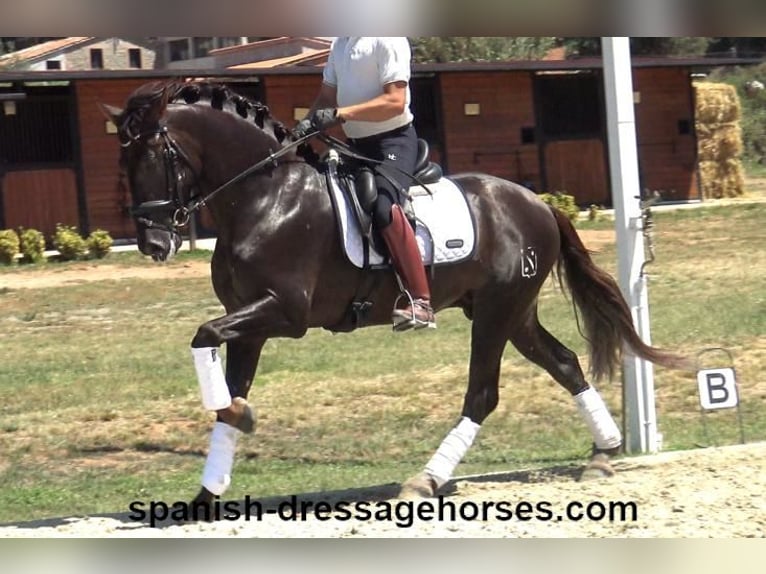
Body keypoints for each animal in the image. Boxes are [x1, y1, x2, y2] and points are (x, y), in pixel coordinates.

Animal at [102, 80, 688, 508]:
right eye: (123, 163)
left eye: (154, 155)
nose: (154, 243)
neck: (266, 196)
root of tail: (538, 202)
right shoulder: (247, 321)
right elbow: (223, 375)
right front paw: (207, 490)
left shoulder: (284, 312)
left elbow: (203, 336)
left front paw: (237, 416)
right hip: (513, 311)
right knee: (564, 363)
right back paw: (603, 453)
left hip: (497, 312)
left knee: (482, 394)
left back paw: (426, 480)